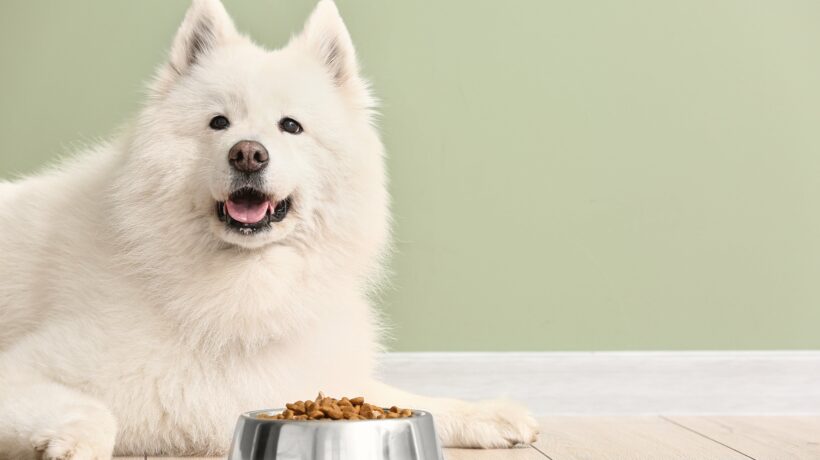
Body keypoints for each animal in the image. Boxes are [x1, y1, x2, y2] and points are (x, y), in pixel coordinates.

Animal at [0, 1, 540, 458]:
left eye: (291, 126)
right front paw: (72, 443)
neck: (243, 287)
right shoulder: (27, 369)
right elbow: (94, 410)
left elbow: (404, 398)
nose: (247, 153)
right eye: (218, 123)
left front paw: (489, 414)